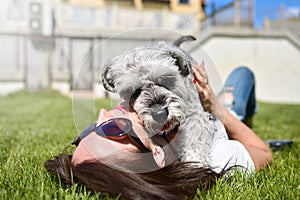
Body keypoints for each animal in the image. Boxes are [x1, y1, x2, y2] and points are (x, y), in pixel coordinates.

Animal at [101, 36, 216, 167]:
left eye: (166, 80)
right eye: (131, 91)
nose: (159, 114)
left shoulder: (195, 115)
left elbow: (196, 138)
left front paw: (196, 162)